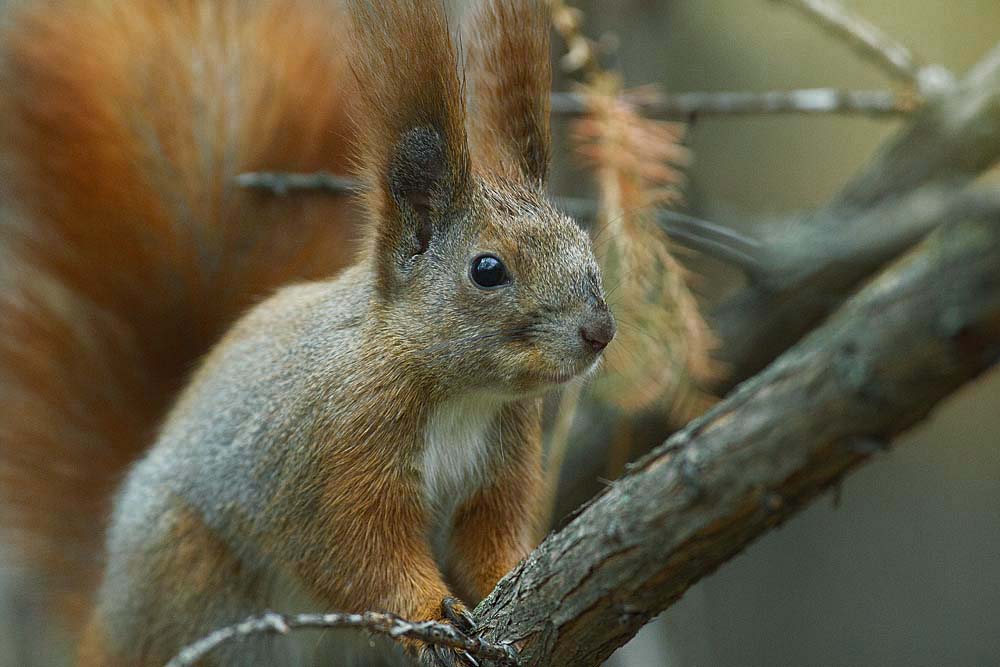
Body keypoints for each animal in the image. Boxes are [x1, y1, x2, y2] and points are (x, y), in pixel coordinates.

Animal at [0, 1, 612, 667]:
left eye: (583, 240)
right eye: (488, 270)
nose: (600, 331)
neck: (459, 394)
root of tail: (107, 617)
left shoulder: (501, 464)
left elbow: (490, 542)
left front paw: (522, 572)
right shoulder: (336, 455)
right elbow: (359, 556)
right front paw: (432, 613)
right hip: (190, 572)